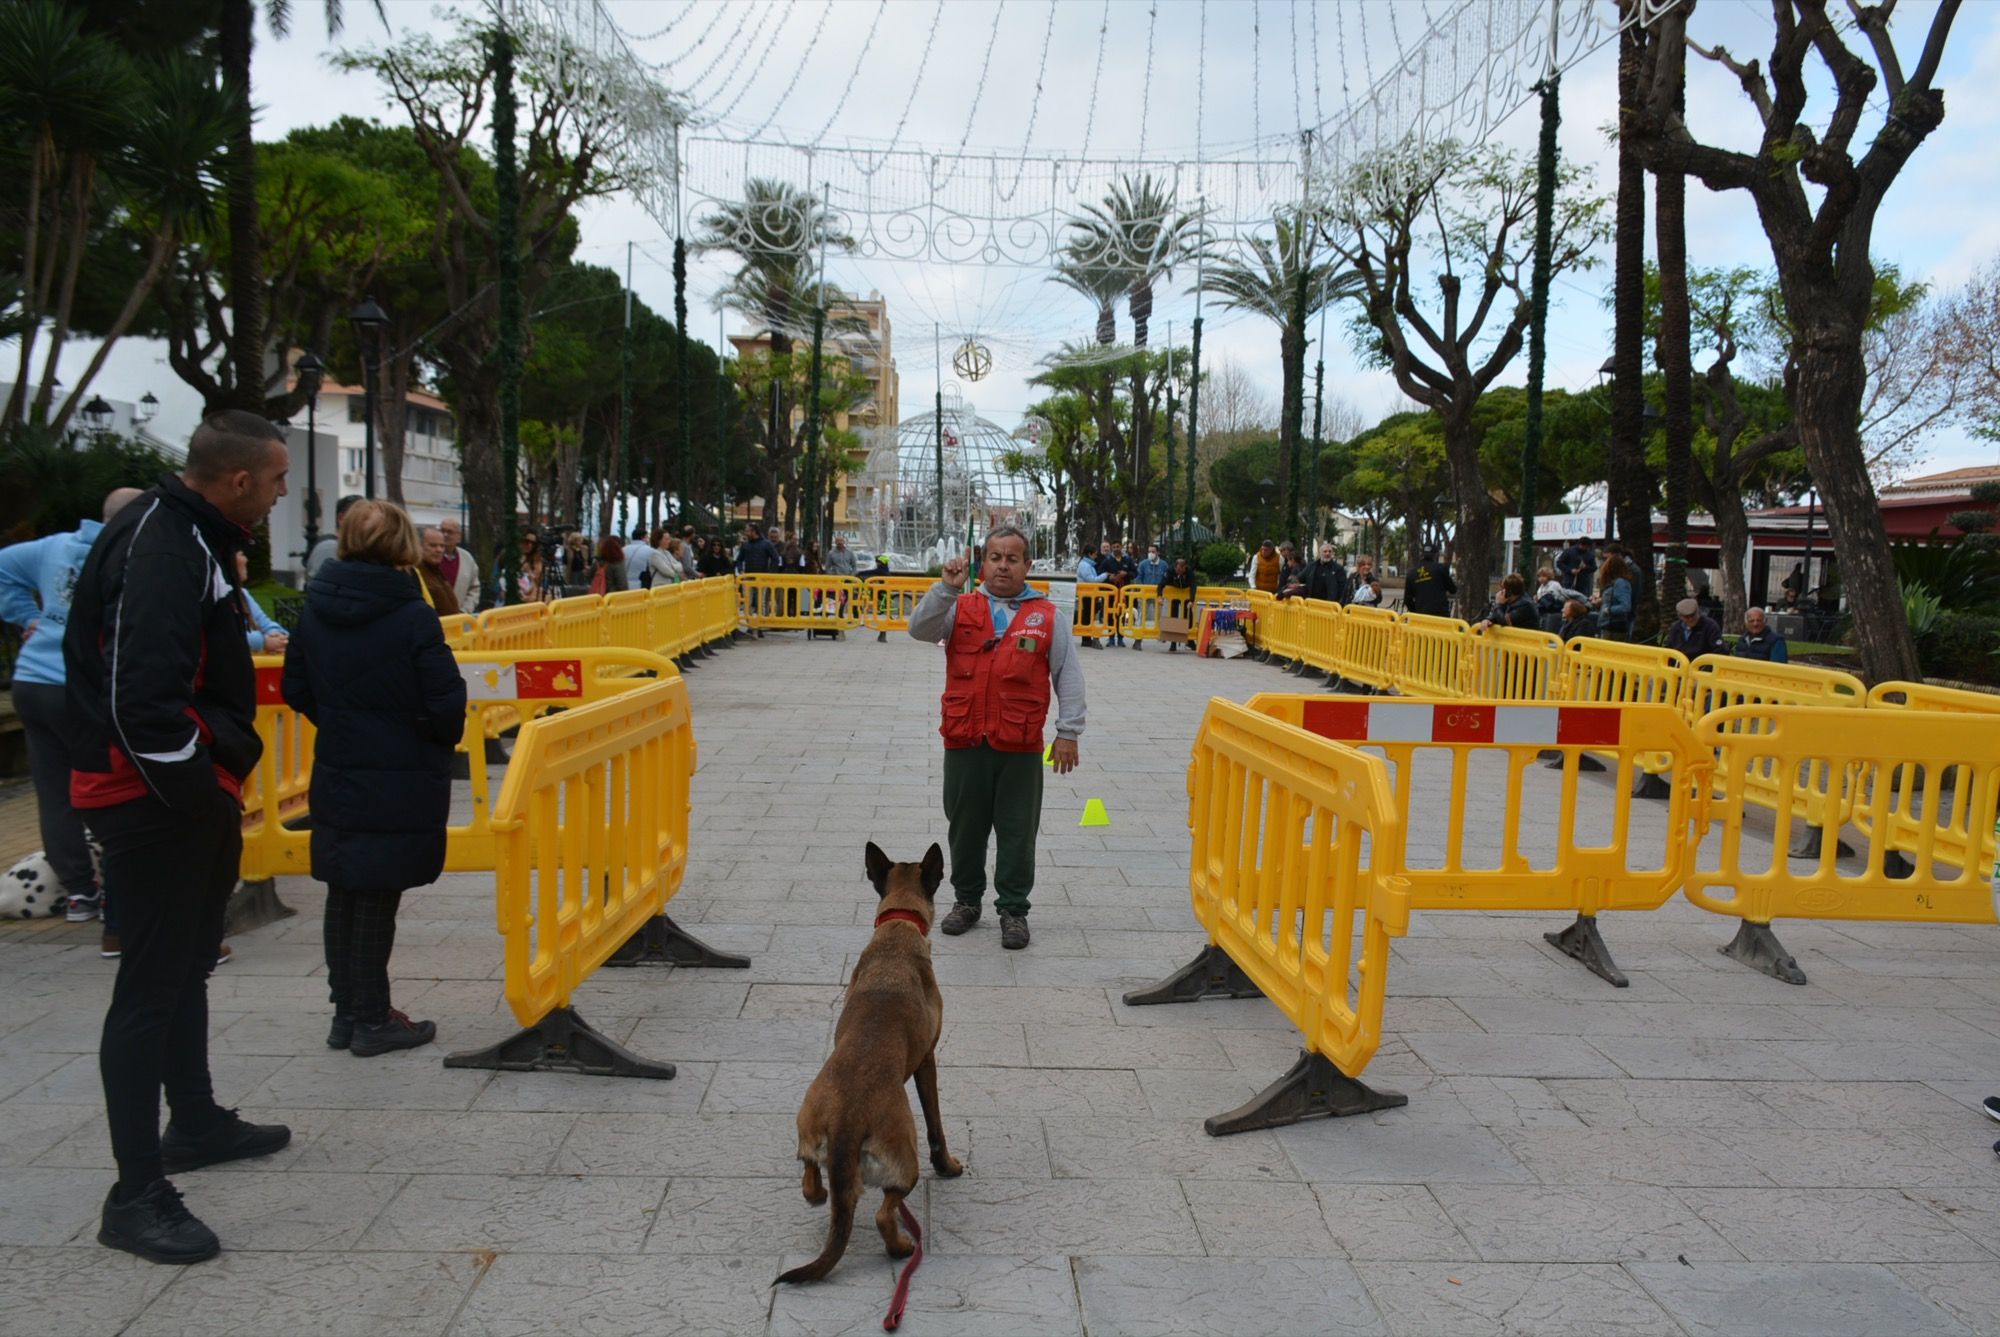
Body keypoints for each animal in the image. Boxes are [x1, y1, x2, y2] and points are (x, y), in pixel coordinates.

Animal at [776, 836, 964, 1280]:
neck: (898, 929)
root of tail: (847, 1121)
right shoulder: (928, 1060)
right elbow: (936, 1124)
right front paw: (947, 1165)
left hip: (808, 1128)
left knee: (810, 1179)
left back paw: (821, 1194)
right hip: (904, 1159)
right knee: (884, 1212)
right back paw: (900, 1246)